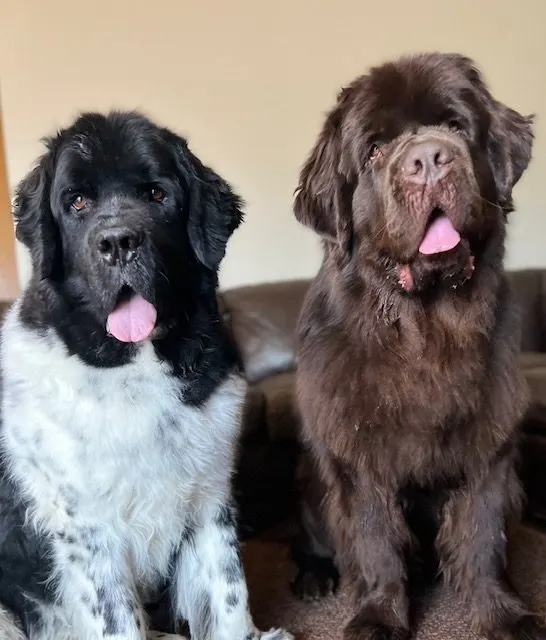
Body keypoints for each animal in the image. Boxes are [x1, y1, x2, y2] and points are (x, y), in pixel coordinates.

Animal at [0, 111, 294, 640]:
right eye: (77, 202)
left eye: (157, 194)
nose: (118, 242)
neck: (133, 365)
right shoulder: (89, 533)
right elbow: (119, 619)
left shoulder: (209, 497)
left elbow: (229, 592)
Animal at [294, 53, 540, 640]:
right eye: (375, 149)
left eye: (455, 127)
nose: (428, 158)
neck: (423, 329)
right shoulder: (359, 456)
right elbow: (375, 540)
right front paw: (378, 617)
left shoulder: (489, 445)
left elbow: (482, 534)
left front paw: (502, 615)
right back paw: (315, 578)